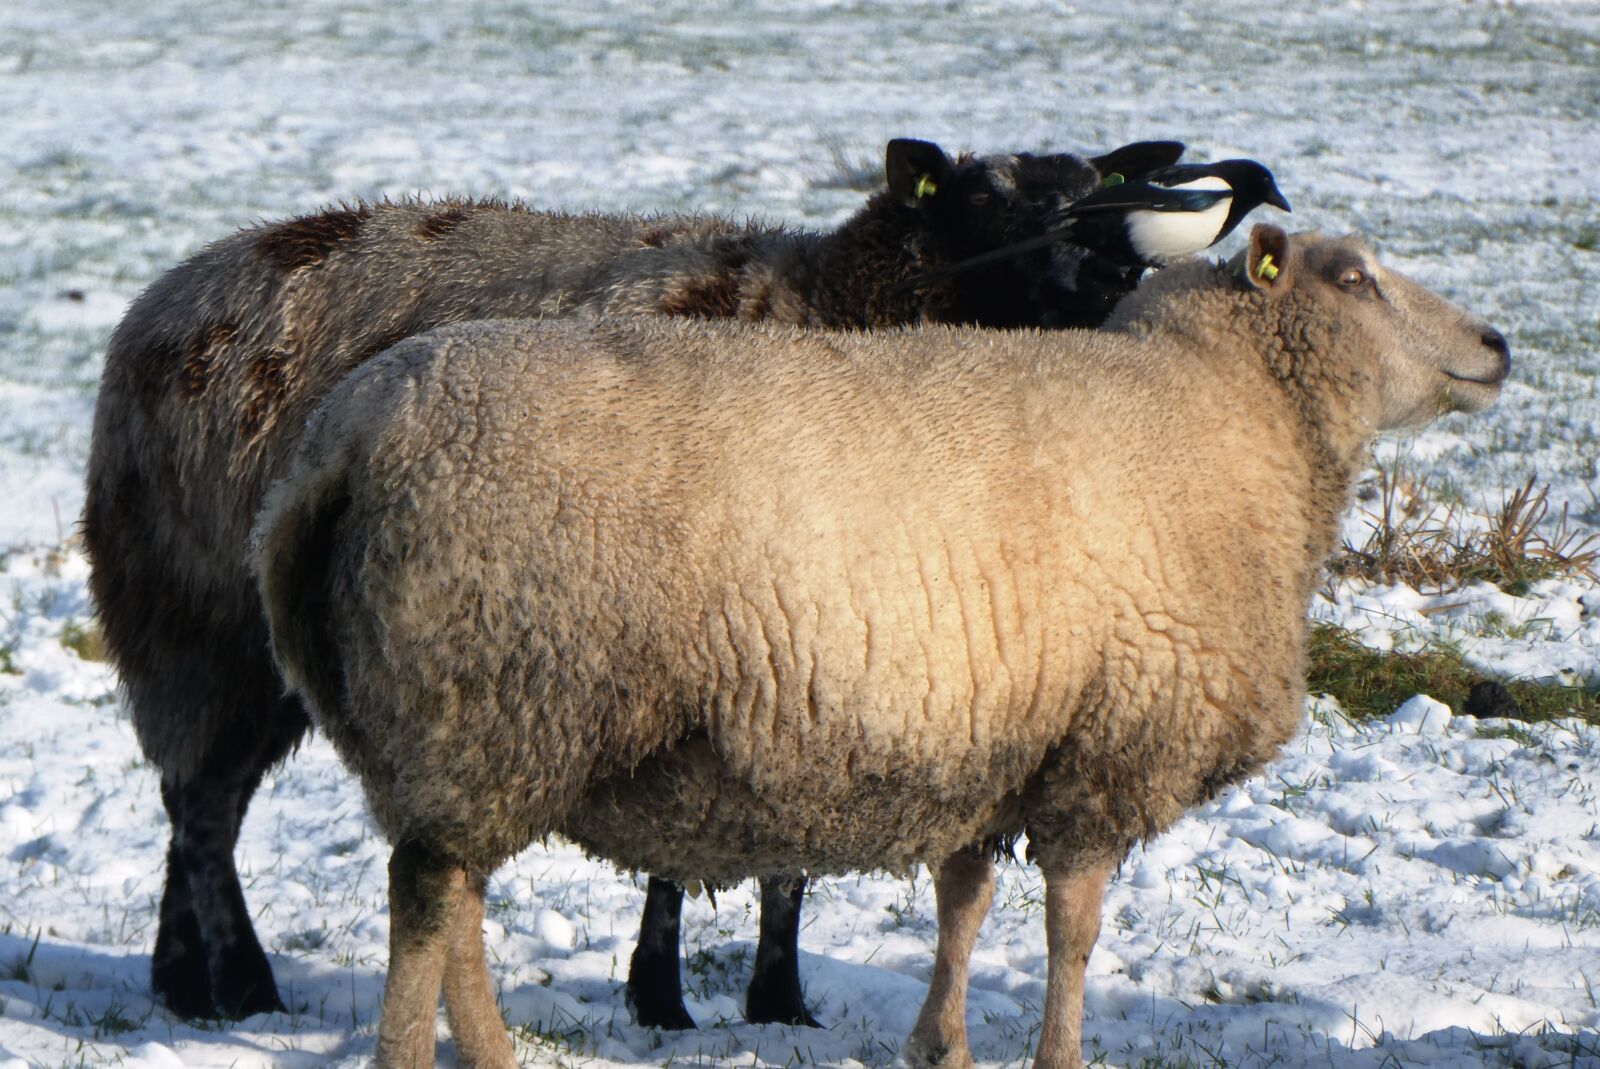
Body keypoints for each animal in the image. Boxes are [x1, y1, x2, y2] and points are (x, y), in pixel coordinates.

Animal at [80, 134, 1184, 1025]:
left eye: (1101, 189)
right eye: (988, 199)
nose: (1114, 265)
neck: (827, 299)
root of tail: (167, 296)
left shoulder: (808, 639)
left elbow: (784, 862)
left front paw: (775, 1002)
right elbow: (686, 856)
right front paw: (664, 998)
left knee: (194, 800)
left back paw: (180, 977)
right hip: (197, 613)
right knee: (205, 807)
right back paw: (240, 983)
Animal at [252, 224, 1510, 1069]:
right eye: (1350, 277)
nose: (1497, 343)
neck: (1224, 414)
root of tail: (349, 432)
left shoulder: (995, 741)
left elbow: (962, 906)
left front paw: (938, 1043)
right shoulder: (1101, 750)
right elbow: (1073, 931)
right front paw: (1057, 1052)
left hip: (450, 727)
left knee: (453, 899)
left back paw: (492, 1051)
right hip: (496, 690)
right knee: (426, 903)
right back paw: (416, 1050)